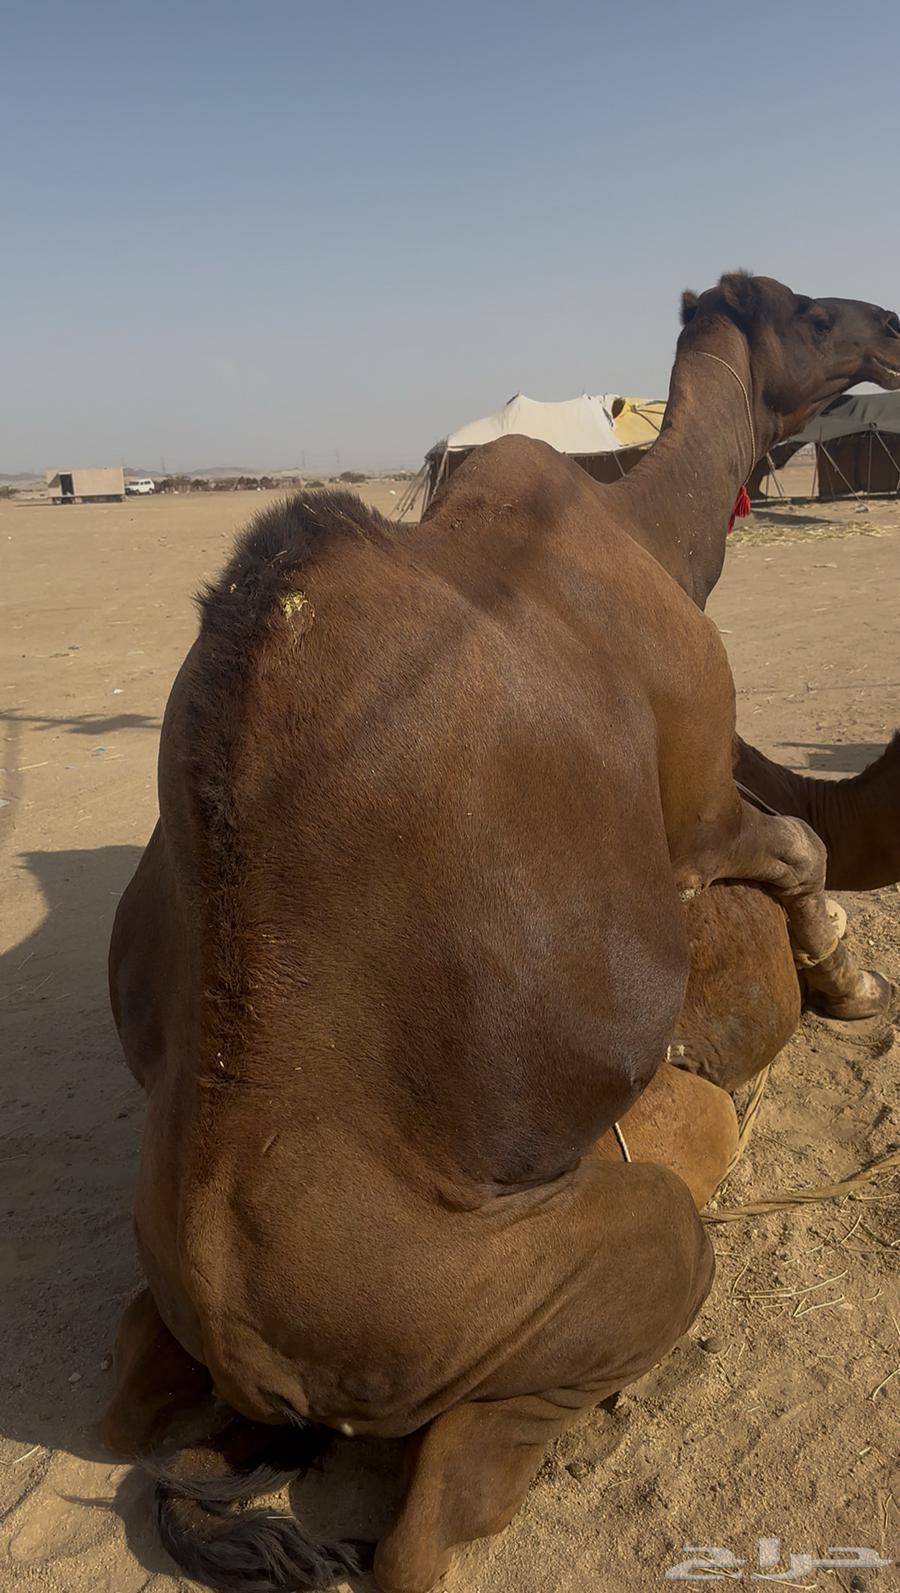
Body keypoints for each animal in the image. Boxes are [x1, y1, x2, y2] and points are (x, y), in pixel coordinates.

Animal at [103, 273, 900, 1593]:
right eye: (812, 310)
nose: (888, 324)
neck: (647, 533)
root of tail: (255, 1358)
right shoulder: (693, 799)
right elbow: (800, 846)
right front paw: (849, 981)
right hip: (489, 1295)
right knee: (428, 1523)